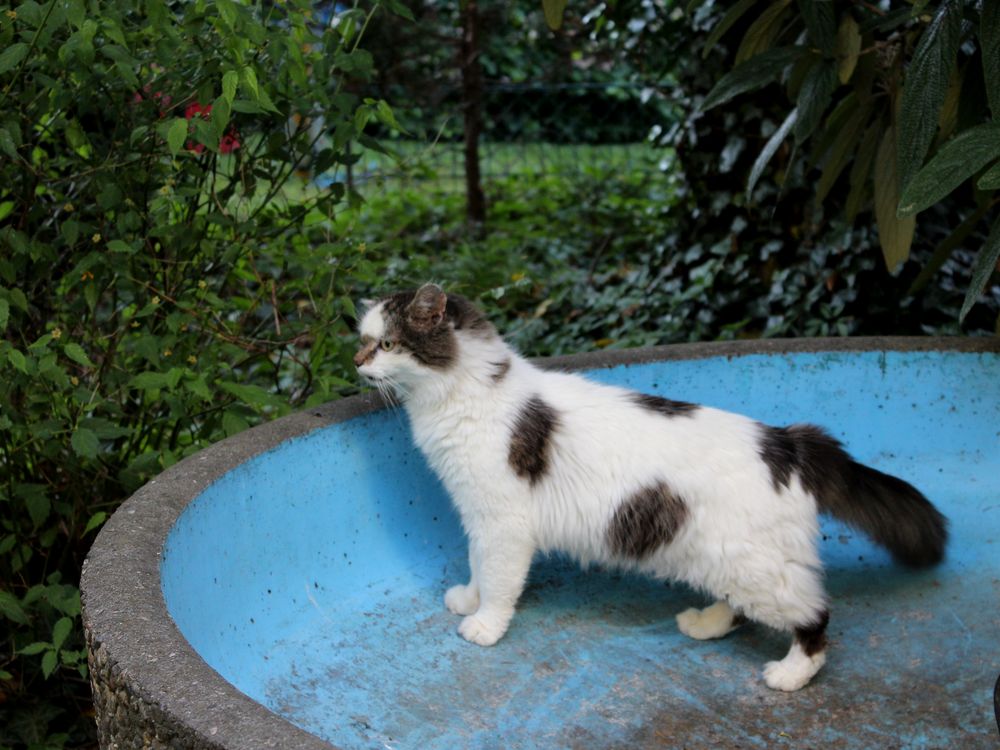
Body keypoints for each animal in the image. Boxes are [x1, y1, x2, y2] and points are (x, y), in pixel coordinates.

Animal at [356, 286, 948, 692]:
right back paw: (705, 624)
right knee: (738, 606)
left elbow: (499, 581)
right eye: (363, 340)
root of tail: (786, 441)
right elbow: (478, 567)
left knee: (815, 618)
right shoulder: (479, 516)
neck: (465, 395)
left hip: (760, 570)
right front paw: (469, 600)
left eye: (386, 343)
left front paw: (484, 625)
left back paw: (789, 674)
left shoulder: (504, 523)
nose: (356, 363)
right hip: (728, 559)